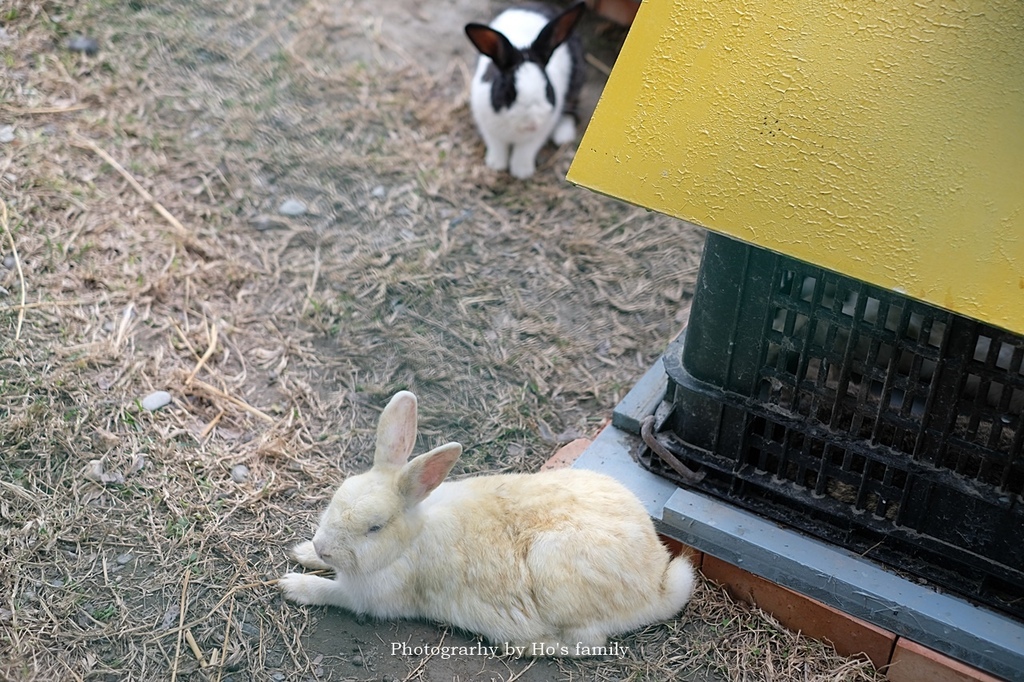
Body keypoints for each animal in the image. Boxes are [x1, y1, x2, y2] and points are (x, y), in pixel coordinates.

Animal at [280, 391, 696, 651]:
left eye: (374, 528)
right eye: (336, 498)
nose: (323, 547)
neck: (410, 539)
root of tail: (657, 583)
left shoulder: (368, 597)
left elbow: (332, 593)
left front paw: (292, 585)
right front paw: (302, 552)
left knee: (586, 644)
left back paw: (527, 647)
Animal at [464, 2, 585, 178]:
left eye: (547, 88)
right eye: (509, 91)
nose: (531, 124)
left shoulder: (539, 133)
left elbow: (525, 151)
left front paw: (521, 172)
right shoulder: (488, 127)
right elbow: (497, 146)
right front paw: (496, 165)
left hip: (576, 82)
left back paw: (564, 136)